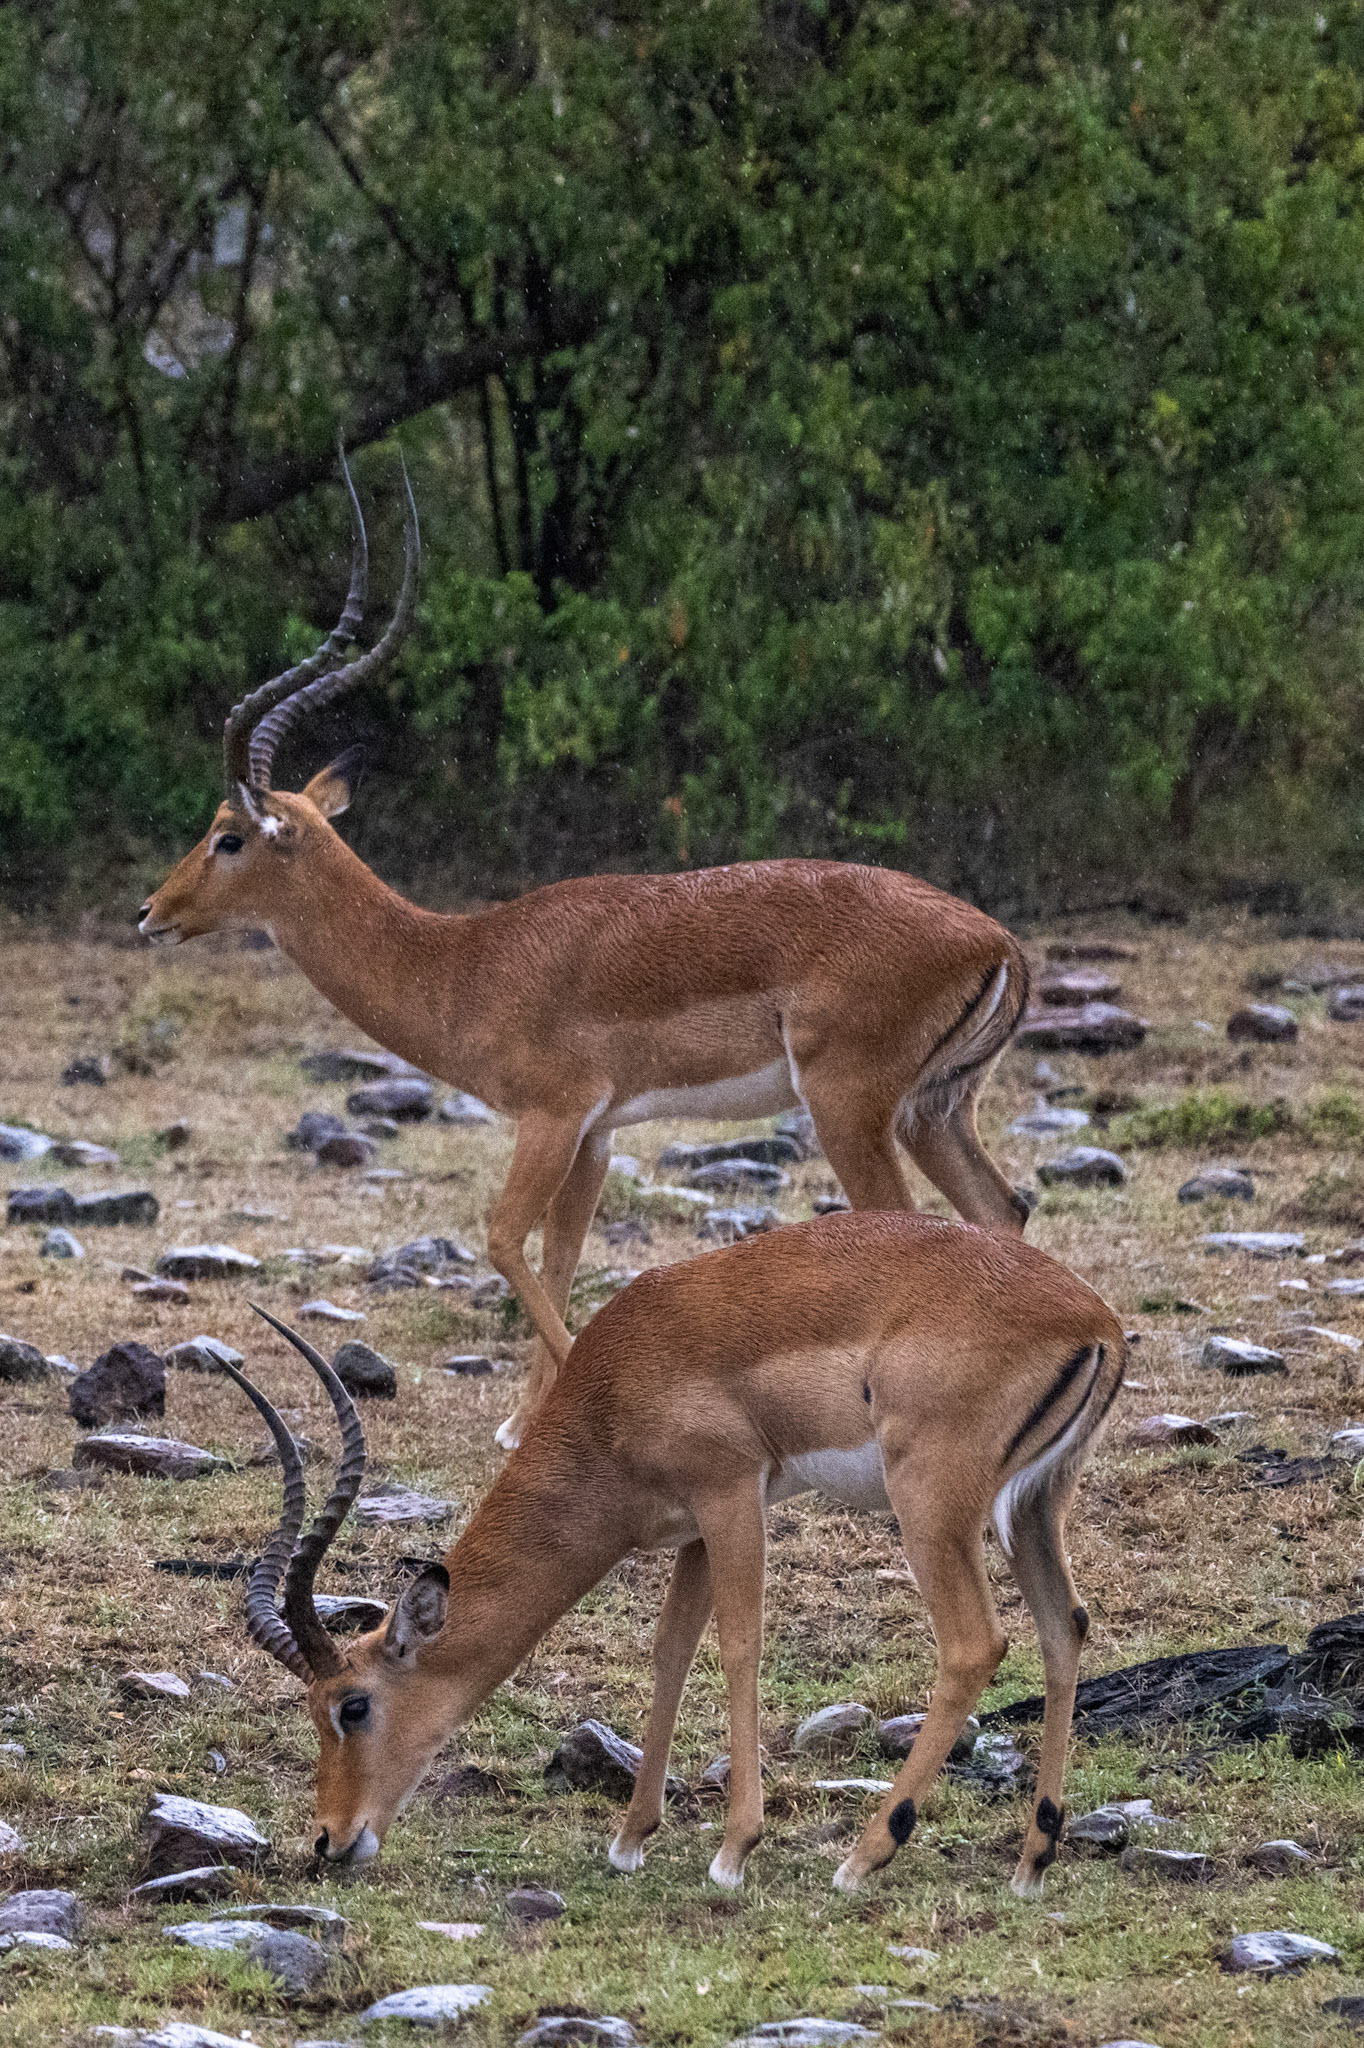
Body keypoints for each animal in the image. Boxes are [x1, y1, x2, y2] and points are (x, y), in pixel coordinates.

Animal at [139, 457, 1032, 1449]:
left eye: (228, 836)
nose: (150, 912)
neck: (463, 962)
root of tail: (994, 939)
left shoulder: (552, 1115)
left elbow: (501, 1238)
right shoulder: (597, 1132)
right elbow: (561, 1252)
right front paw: (523, 1424)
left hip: (850, 1107)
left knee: (912, 1227)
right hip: (934, 1111)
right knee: (1002, 1212)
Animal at [224, 1213, 1124, 1895]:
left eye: (353, 1706)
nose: (330, 1840)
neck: (615, 1384)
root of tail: (1096, 1320)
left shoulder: (730, 1496)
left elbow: (738, 1646)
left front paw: (733, 1851)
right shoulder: (692, 1526)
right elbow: (671, 1652)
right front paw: (630, 1838)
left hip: (931, 1506)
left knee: (976, 1643)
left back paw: (863, 1857)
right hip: (1035, 1508)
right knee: (1064, 1627)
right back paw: (1032, 1861)